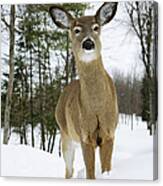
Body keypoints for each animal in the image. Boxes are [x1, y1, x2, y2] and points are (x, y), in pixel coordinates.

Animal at [49, 1, 119, 179]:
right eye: (76, 30)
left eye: (96, 27)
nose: (88, 43)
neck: (97, 107)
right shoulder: (84, 136)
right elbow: (90, 173)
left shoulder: (109, 132)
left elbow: (106, 169)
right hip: (65, 133)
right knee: (68, 170)